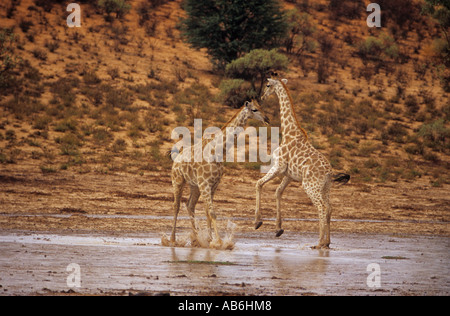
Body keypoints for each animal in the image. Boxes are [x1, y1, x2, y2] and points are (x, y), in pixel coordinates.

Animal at [169, 100, 268, 246]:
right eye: (255, 109)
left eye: (261, 107)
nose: (267, 119)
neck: (217, 151)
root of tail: (176, 158)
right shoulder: (205, 183)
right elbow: (212, 212)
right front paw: (220, 242)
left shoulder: (214, 184)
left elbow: (208, 211)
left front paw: (210, 240)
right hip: (178, 180)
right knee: (176, 206)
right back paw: (172, 239)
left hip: (194, 185)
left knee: (190, 205)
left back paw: (195, 238)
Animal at [255, 78, 350, 249]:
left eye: (267, 85)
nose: (262, 97)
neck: (288, 132)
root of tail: (330, 173)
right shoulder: (289, 175)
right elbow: (278, 192)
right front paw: (278, 229)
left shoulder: (278, 167)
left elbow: (259, 184)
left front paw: (258, 222)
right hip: (325, 188)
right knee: (329, 208)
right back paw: (327, 242)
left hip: (310, 186)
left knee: (322, 208)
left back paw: (318, 243)